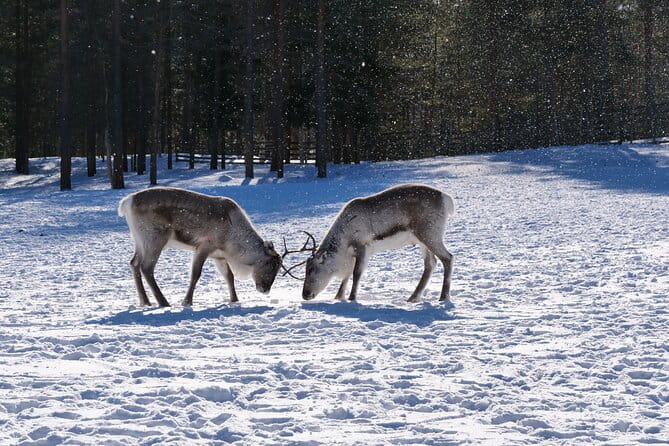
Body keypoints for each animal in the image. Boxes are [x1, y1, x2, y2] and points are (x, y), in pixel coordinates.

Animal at [118, 187, 282, 307]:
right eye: (270, 265)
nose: (265, 289)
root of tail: (126, 202)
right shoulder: (203, 247)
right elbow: (195, 274)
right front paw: (187, 302)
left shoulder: (219, 256)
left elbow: (229, 276)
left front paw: (234, 300)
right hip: (154, 239)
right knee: (146, 267)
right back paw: (163, 302)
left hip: (140, 241)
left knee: (134, 263)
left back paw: (145, 302)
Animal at [299, 184, 455, 303]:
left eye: (311, 269)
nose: (305, 294)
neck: (344, 241)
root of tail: (446, 199)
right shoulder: (350, 256)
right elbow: (347, 275)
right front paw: (338, 297)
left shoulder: (362, 247)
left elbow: (356, 273)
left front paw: (352, 298)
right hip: (422, 241)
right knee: (430, 264)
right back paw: (413, 298)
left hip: (431, 235)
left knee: (448, 258)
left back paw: (443, 297)